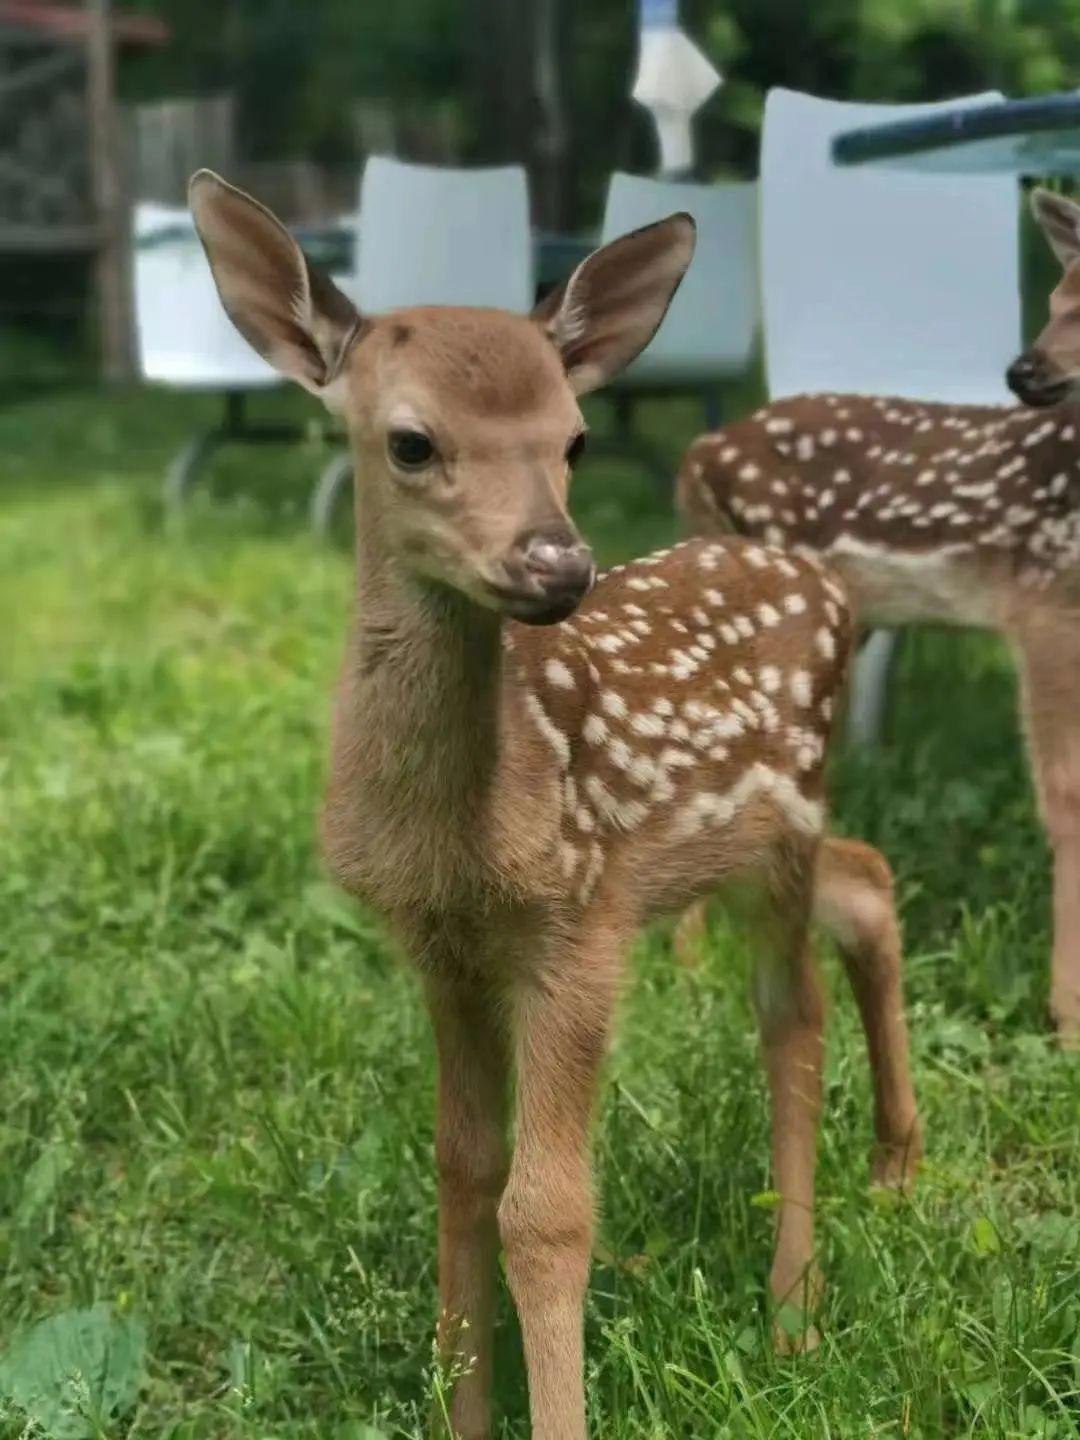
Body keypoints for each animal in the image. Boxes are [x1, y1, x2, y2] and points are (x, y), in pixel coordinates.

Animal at [190, 177, 915, 1440]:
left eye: (574, 438)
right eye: (412, 442)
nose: (557, 564)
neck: (463, 830)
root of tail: (822, 577)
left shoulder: (581, 921)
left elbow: (546, 1211)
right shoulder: (442, 948)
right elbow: (463, 1168)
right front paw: (462, 1412)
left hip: (778, 833)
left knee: (791, 1017)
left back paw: (793, 1312)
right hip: (753, 846)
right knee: (868, 885)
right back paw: (894, 1164)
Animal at [679, 188, 1080, 1048]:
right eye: (1059, 296)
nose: (1026, 370)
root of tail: (698, 455)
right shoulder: (1040, 601)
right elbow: (1063, 796)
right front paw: (1067, 1022)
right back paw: (689, 978)